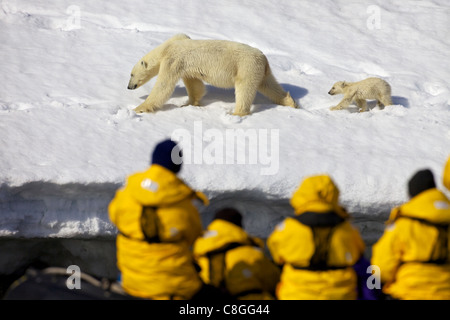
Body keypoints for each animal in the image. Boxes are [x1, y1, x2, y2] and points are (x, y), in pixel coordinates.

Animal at [126, 33, 298, 116]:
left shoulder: (173, 61)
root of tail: (264, 59)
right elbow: (194, 85)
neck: (165, 49)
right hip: (260, 71)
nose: (128, 87)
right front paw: (188, 103)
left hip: (246, 67)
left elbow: (163, 87)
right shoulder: (182, 51)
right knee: (270, 86)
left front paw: (139, 108)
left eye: (131, 74)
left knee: (244, 89)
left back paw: (237, 113)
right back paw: (291, 103)